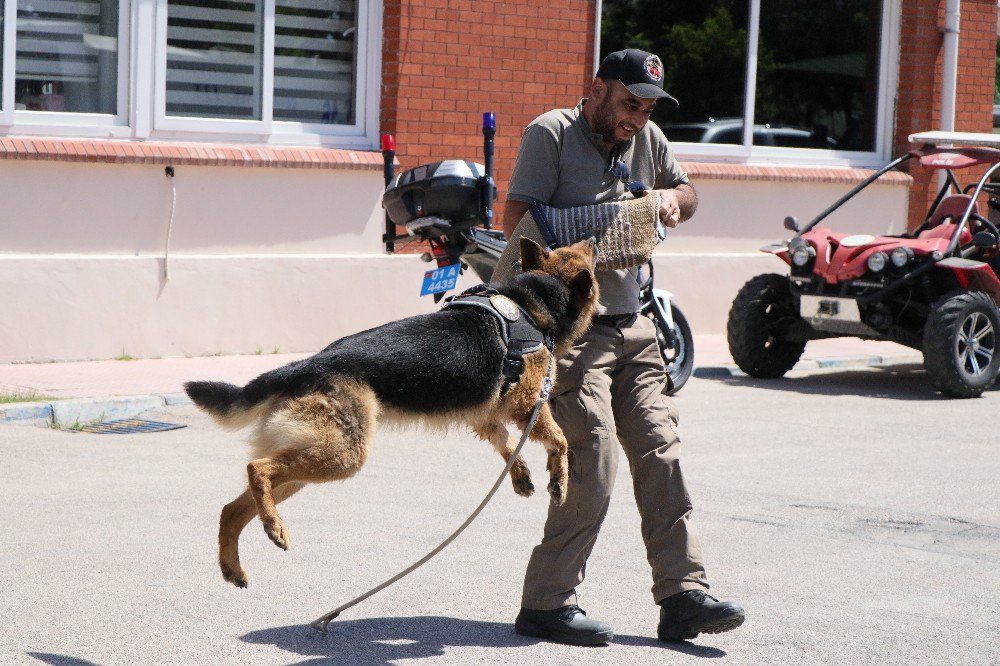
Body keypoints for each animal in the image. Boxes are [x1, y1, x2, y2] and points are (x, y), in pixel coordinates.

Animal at [184, 236, 596, 584]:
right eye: (586, 253)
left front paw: (521, 474)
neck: (534, 299)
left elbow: (505, 442)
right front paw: (558, 482)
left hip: (308, 462)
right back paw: (274, 526)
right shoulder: (529, 404)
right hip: (342, 456)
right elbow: (559, 440)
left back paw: (233, 566)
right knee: (257, 469)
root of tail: (306, 365)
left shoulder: (486, 416)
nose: (594, 237)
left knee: (232, 508)